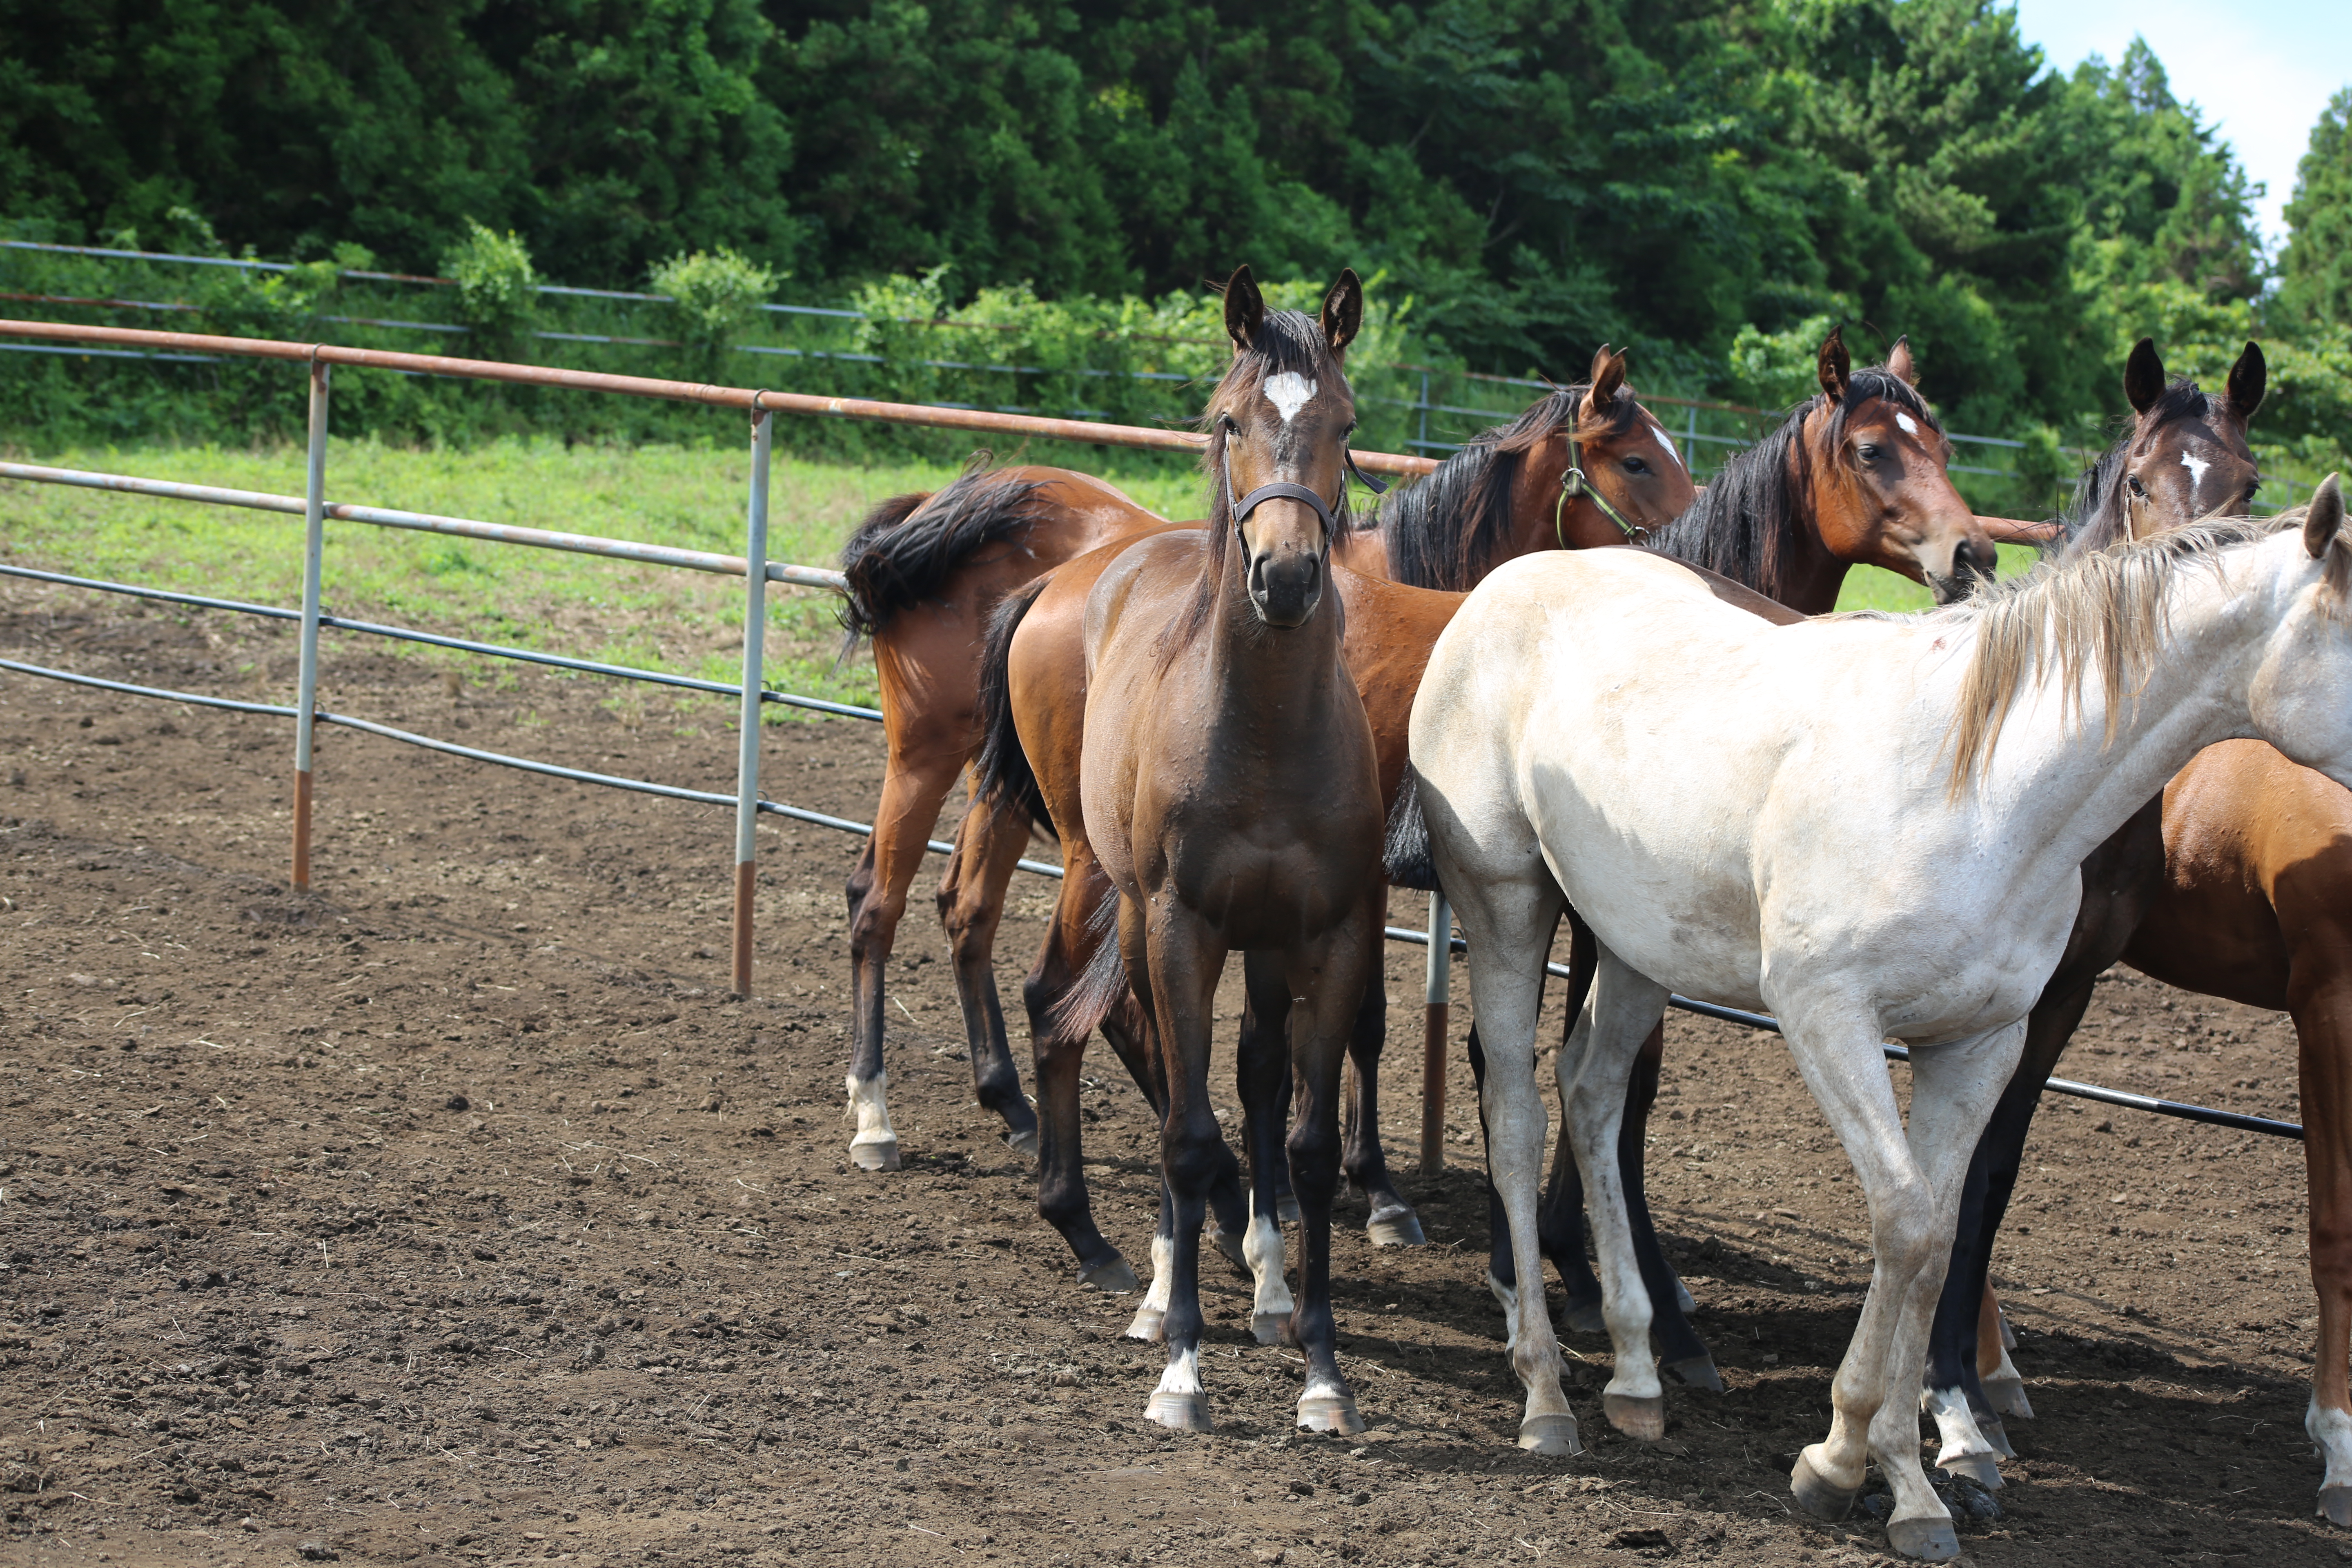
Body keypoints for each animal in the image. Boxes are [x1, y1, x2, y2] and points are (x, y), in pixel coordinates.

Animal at [1392, 474, 2352, 1561]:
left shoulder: (1980, 1045)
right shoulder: (1827, 1017)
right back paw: (1544, 1388)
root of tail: (1503, 587)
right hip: (1506, 903)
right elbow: (1899, 1217)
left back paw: (1637, 1374)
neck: (1978, 789)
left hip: (1637, 945)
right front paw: (1837, 1459)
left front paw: (1911, 1480)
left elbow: (1936, 1235)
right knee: (1515, 1111)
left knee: (1591, 1093)